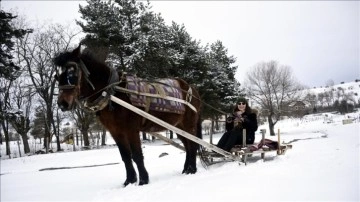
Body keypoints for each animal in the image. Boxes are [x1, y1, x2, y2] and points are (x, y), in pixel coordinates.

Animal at [52, 44, 202, 186]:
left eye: (72, 73)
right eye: (56, 76)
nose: (62, 103)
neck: (113, 93)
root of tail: (192, 88)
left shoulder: (131, 129)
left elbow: (136, 155)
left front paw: (143, 180)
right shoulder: (116, 131)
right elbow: (125, 156)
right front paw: (129, 180)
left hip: (189, 124)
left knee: (192, 145)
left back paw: (192, 169)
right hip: (179, 127)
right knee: (188, 145)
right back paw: (186, 169)